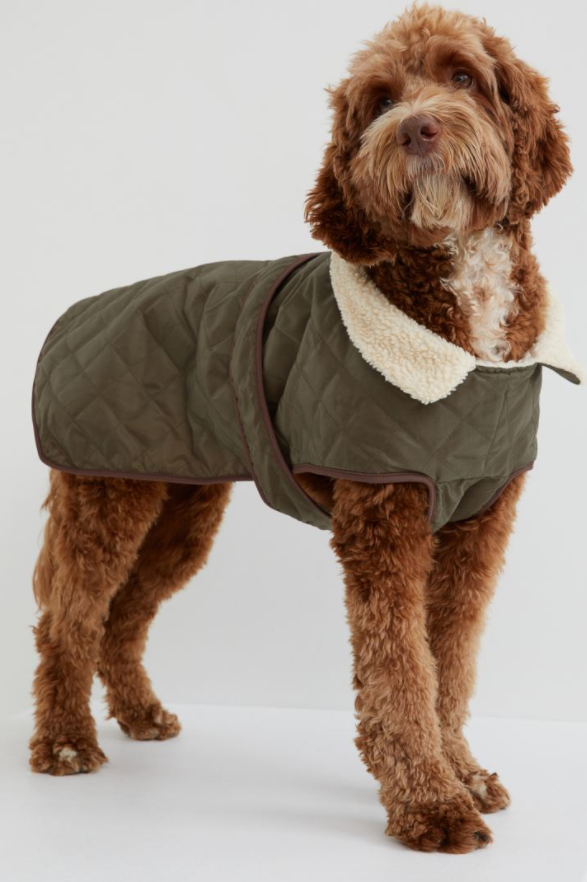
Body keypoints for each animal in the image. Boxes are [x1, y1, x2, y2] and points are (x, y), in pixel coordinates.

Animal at [30, 4, 579, 854]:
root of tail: (72, 315)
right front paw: (429, 804)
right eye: (379, 99)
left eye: (462, 76)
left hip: (181, 509)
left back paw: (141, 715)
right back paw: (64, 742)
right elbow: (402, 671)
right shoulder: (384, 518)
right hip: (104, 492)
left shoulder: (478, 524)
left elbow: (450, 661)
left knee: (123, 615)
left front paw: (462, 772)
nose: (416, 128)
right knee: (69, 617)